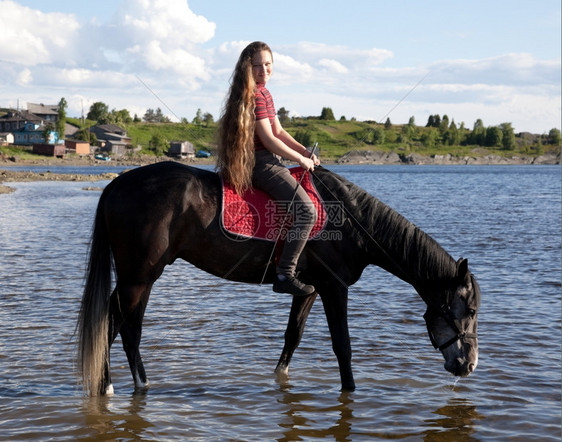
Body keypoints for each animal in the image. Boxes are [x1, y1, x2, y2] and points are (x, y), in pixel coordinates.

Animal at [76, 162, 480, 398]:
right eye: (471, 310)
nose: (469, 365)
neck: (351, 221)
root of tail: (116, 184)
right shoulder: (335, 288)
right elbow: (343, 346)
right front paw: (350, 391)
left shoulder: (310, 289)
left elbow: (293, 337)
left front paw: (280, 379)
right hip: (138, 278)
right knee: (113, 325)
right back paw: (113, 386)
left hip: (141, 279)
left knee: (124, 328)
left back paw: (132, 384)